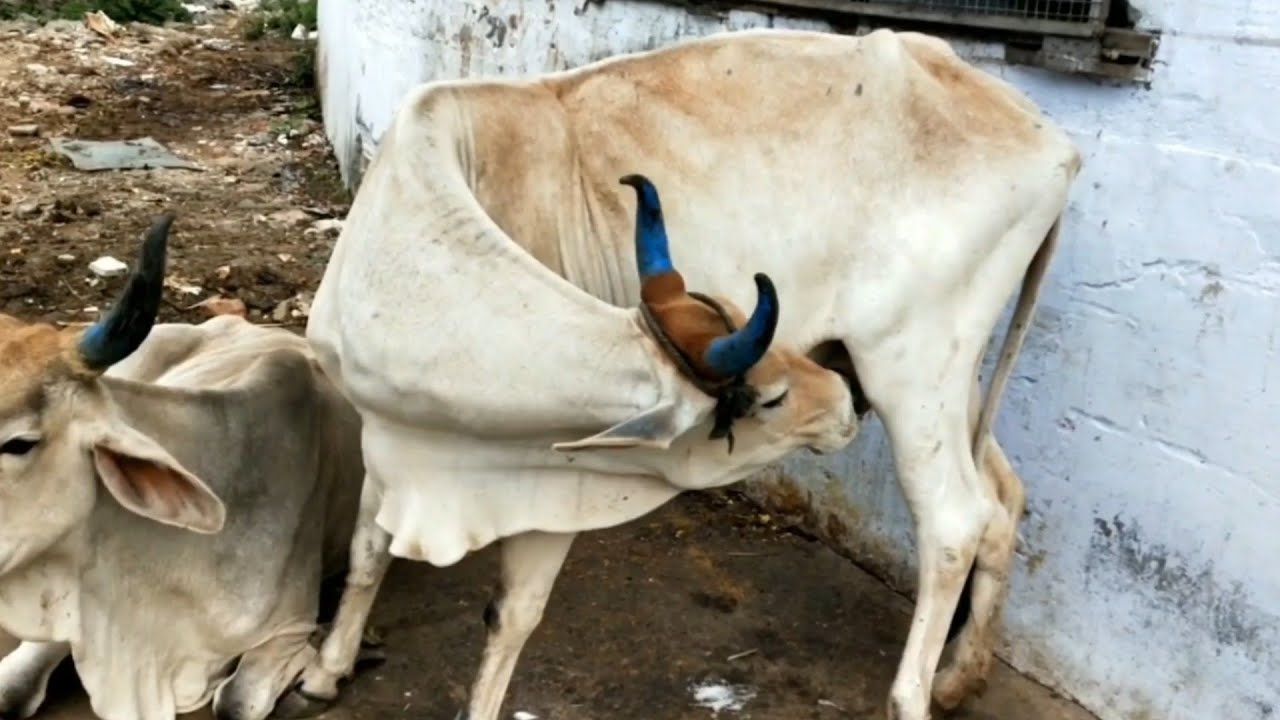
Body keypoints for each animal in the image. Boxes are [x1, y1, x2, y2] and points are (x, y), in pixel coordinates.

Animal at [294, 26, 1080, 720]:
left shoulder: (561, 478)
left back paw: (912, 697)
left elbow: (510, 615)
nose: (842, 402)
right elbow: (368, 549)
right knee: (1002, 499)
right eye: (766, 396)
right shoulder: (386, 434)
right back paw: (959, 678)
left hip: (911, 368)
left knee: (953, 521)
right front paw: (326, 669)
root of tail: (1055, 144)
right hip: (949, 377)